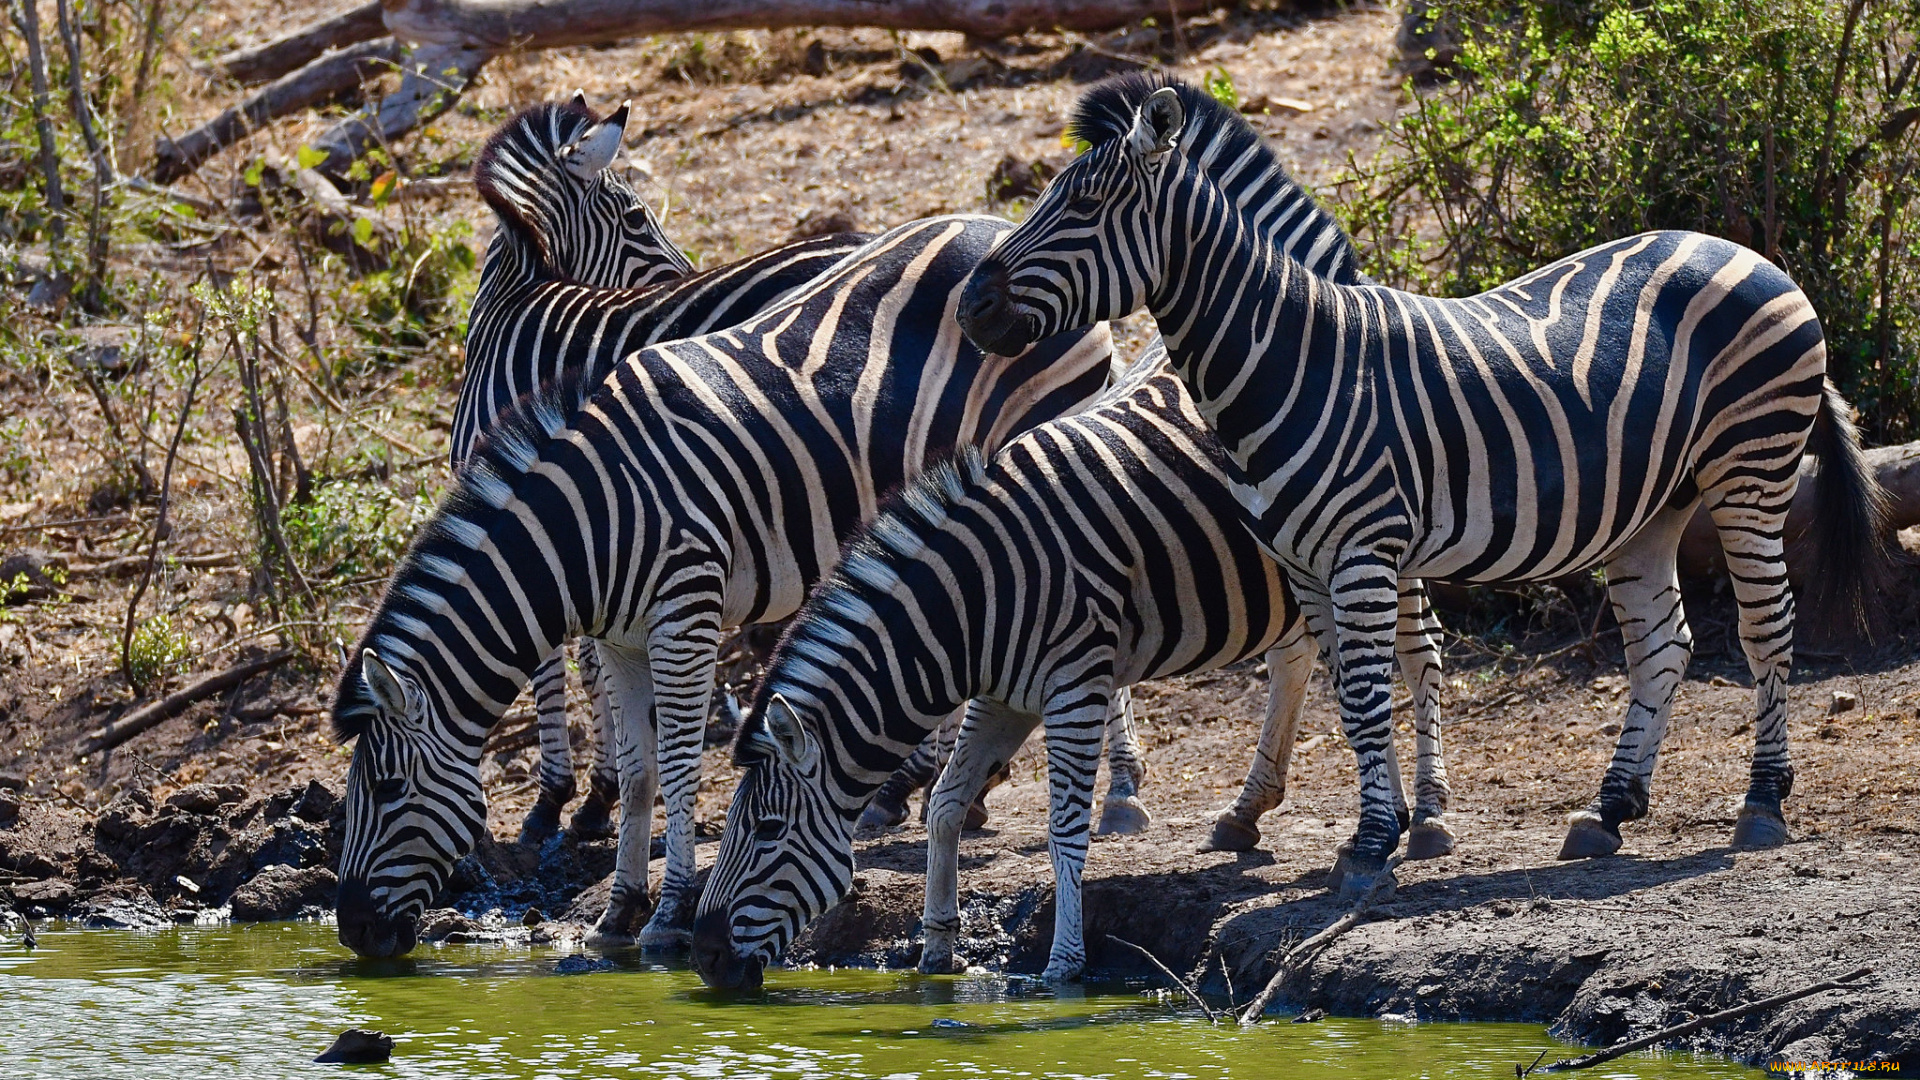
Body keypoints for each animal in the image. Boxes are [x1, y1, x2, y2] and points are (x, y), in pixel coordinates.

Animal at [328, 214, 1113, 953]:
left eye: (387, 789)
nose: (354, 931)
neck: (592, 516)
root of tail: (996, 223)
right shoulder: (619, 638)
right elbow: (639, 772)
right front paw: (618, 910)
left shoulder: (686, 611)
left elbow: (678, 767)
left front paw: (668, 912)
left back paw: (1102, 796)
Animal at [453, 94, 867, 841]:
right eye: (639, 219)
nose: (683, 274)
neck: (512, 309)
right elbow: (589, 658)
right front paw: (602, 793)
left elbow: (557, 667)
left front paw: (564, 798)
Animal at [952, 75, 1881, 895]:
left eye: (1082, 206)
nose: (969, 306)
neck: (1293, 357)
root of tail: (1748, 251)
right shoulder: (1305, 560)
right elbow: (1348, 694)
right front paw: (1386, 827)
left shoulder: (1365, 547)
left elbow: (1371, 690)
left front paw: (1372, 845)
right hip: (1655, 505)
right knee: (1662, 645)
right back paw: (1609, 809)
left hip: (1749, 466)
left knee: (1766, 626)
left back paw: (1761, 804)